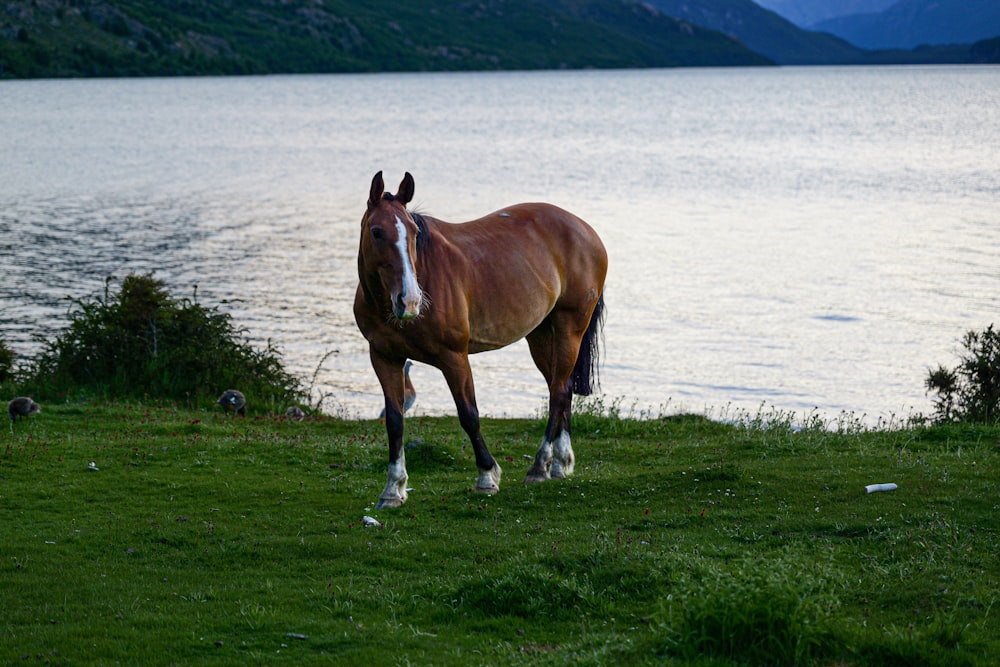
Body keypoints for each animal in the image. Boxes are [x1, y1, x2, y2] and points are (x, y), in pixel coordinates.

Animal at [356, 171, 604, 506]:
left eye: (413, 232)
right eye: (377, 231)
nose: (409, 301)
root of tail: (584, 229)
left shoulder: (453, 357)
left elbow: (469, 414)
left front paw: (487, 476)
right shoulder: (384, 357)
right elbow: (395, 421)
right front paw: (393, 488)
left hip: (570, 328)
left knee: (558, 392)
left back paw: (540, 466)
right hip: (540, 335)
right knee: (561, 389)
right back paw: (559, 464)